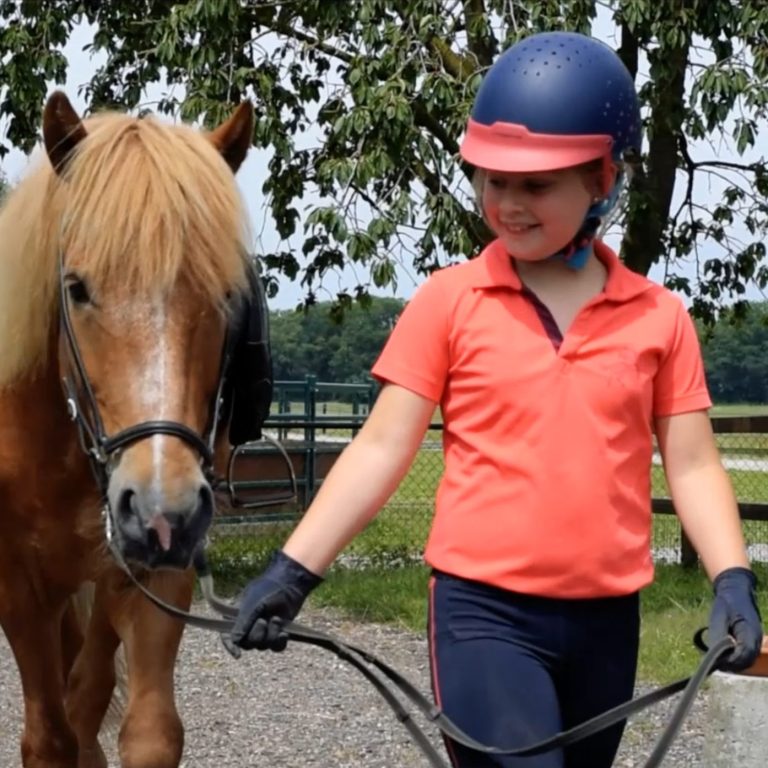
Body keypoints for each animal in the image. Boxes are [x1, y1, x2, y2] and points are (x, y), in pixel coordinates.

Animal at [0, 93, 270, 764]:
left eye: (228, 295)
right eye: (75, 289)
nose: (160, 509)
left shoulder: (157, 571)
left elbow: (145, 729)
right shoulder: (18, 585)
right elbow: (48, 735)